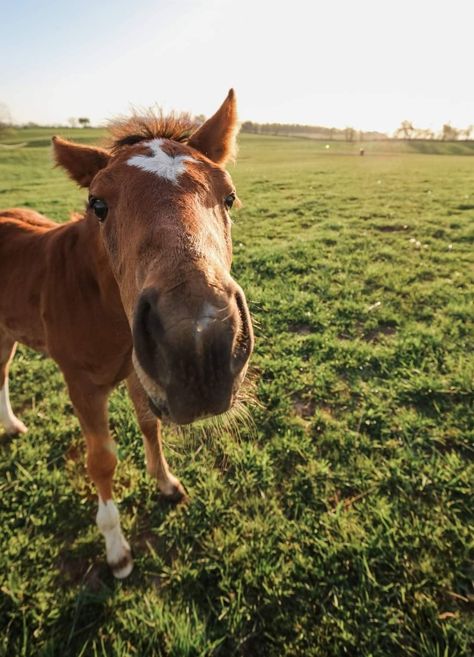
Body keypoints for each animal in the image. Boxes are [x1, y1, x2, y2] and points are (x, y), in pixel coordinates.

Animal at [0, 89, 254, 576]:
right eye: (98, 205)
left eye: (229, 197)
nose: (199, 345)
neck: (99, 302)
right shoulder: (81, 383)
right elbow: (101, 460)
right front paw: (116, 549)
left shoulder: (141, 371)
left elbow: (150, 424)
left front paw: (166, 483)